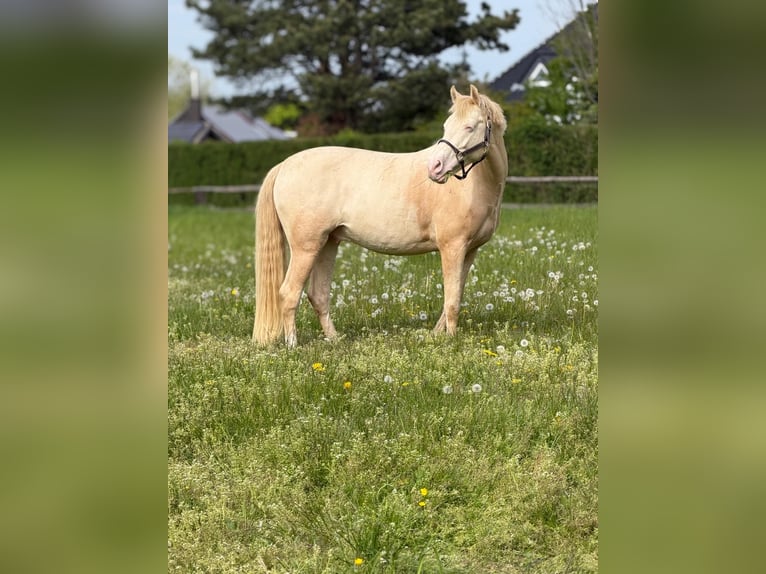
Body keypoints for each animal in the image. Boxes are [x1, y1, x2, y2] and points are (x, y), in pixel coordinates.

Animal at [252, 84, 508, 347]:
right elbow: (452, 300)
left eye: (469, 127)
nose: (434, 168)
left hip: (327, 243)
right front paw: (451, 341)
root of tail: (284, 165)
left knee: (318, 295)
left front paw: (437, 335)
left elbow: (455, 294)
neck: (473, 185)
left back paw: (335, 340)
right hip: (306, 247)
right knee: (289, 293)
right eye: (447, 126)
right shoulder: (452, 247)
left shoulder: (469, 250)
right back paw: (293, 345)